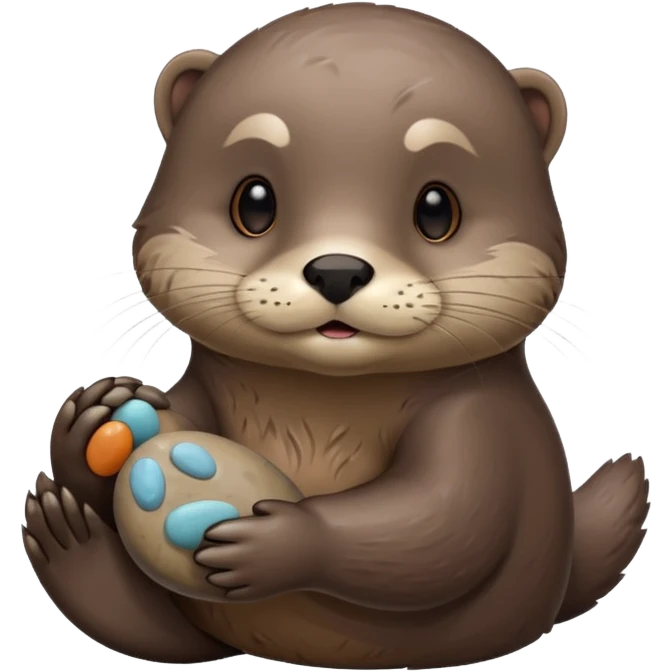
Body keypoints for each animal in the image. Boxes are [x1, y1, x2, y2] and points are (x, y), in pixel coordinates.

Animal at [23, 3, 650, 669]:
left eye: (437, 209)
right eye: (254, 202)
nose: (338, 270)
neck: (322, 408)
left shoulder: (482, 419)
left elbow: (441, 520)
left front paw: (279, 539)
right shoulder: (206, 386)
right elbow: (178, 413)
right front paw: (92, 421)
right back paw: (70, 542)